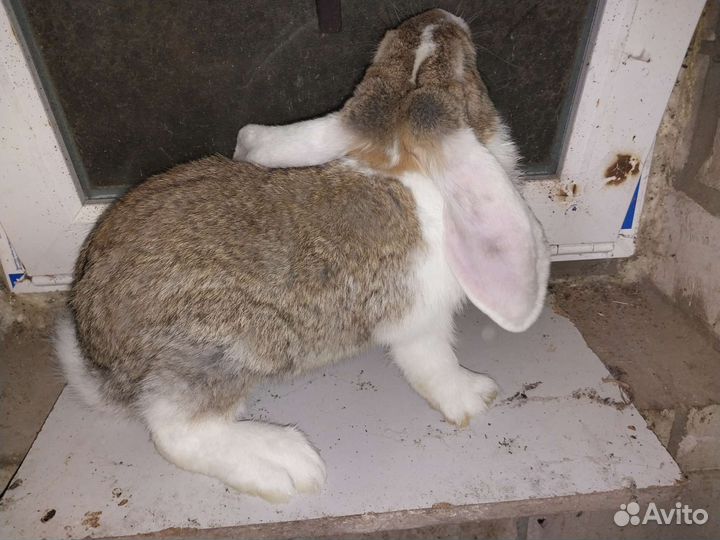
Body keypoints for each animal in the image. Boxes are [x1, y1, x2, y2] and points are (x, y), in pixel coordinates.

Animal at [56, 8, 549, 503]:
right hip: (224, 350)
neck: (402, 167)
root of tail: (99, 358)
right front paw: (476, 397)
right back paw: (286, 462)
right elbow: (435, 365)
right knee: (175, 430)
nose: (440, 15)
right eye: (465, 73)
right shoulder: (420, 322)